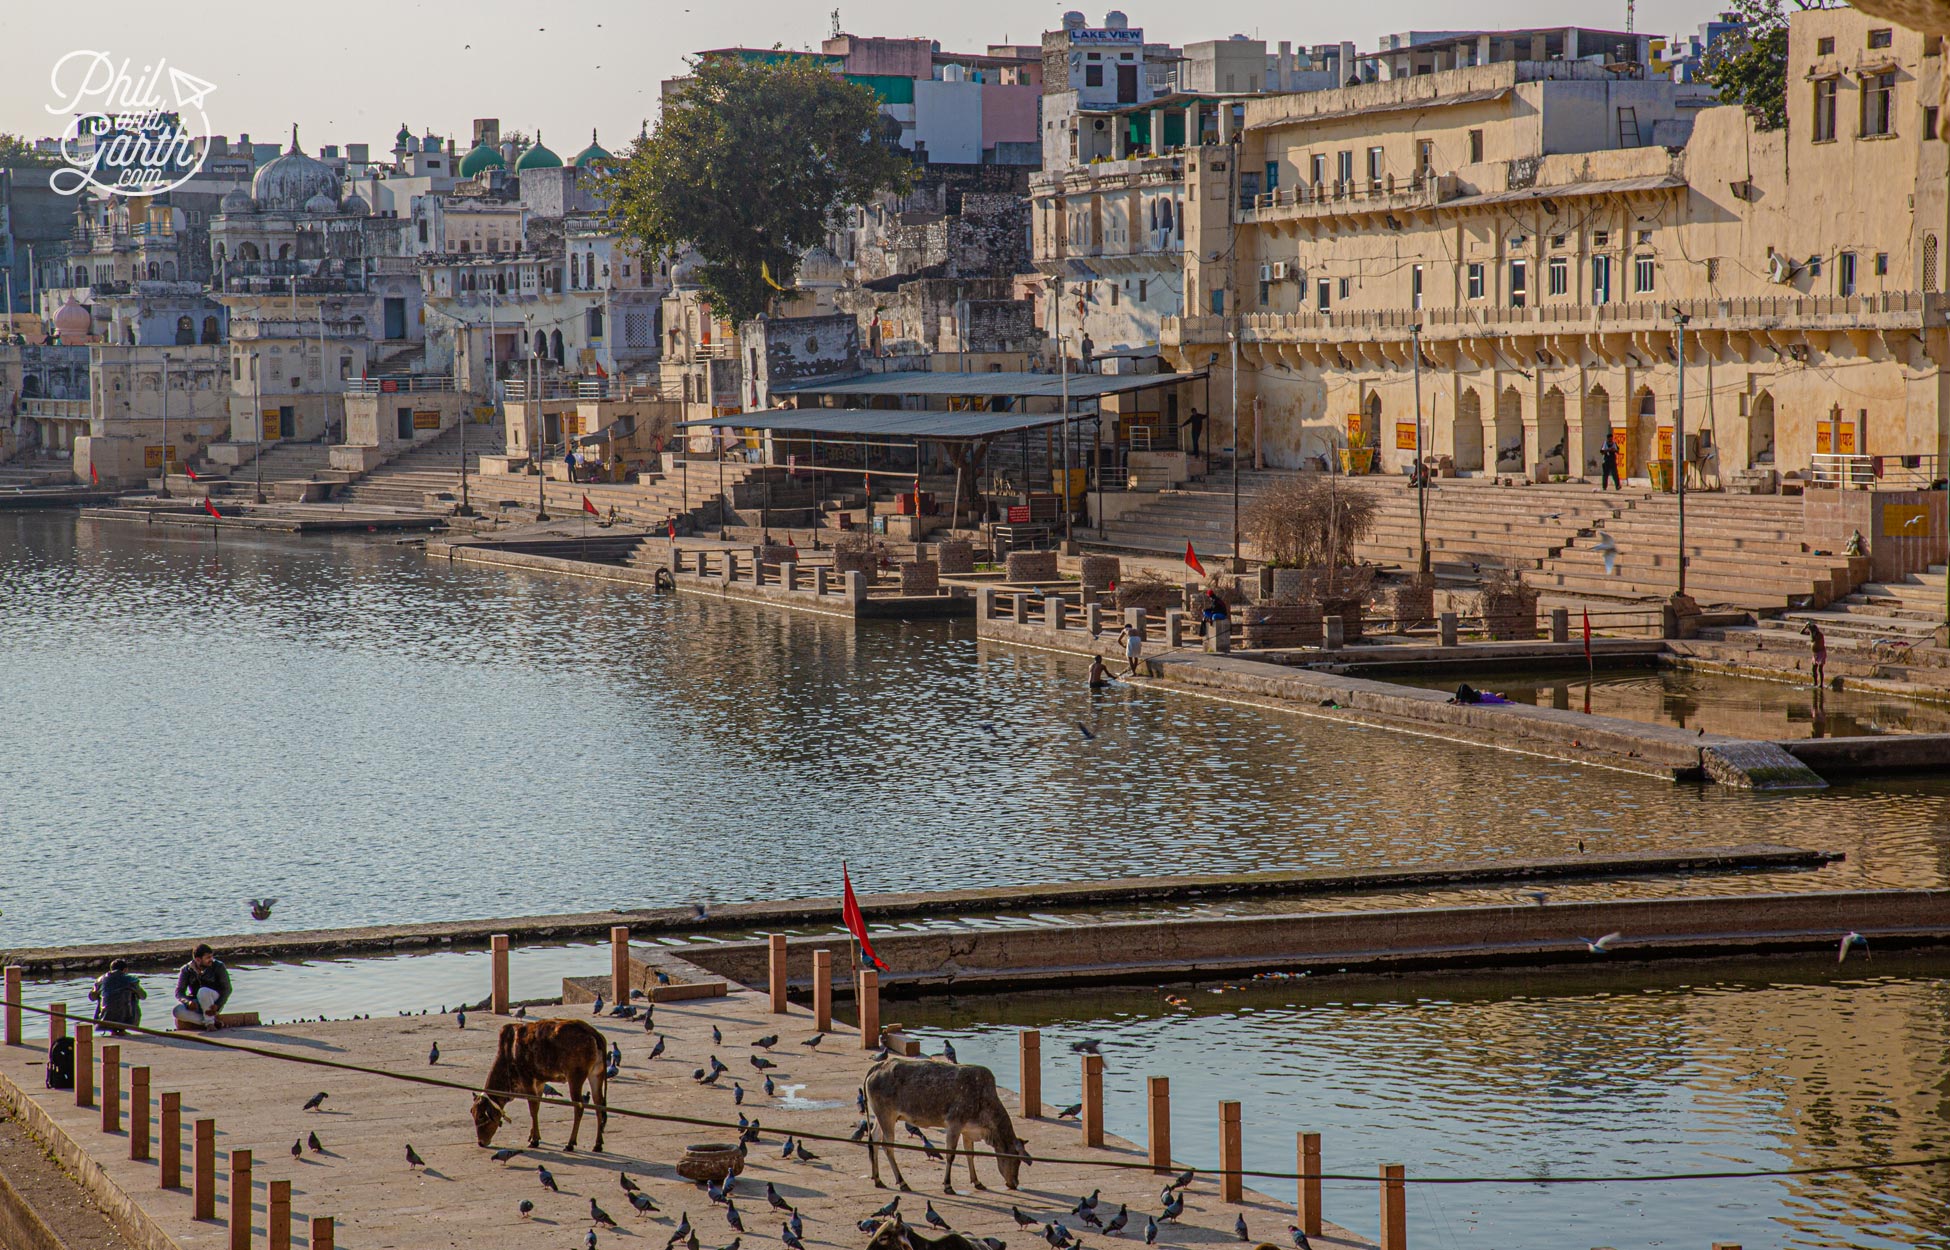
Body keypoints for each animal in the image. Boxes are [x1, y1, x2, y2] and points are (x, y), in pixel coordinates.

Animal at [468, 1014, 604, 1154]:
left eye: (480, 1116)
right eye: (472, 1112)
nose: (481, 1142)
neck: (508, 1053)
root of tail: (591, 1031)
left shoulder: (527, 1079)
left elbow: (533, 1108)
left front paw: (534, 1140)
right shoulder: (539, 1083)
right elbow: (536, 1108)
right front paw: (532, 1135)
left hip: (575, 1077)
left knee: (579, 1107)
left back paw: (570, 1143)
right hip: (596, 1075)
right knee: (599, 1104)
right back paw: (597, 1144)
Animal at [858, 1060, 1029, 1193]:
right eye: (1016, 1159)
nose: (1015, 1183)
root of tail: (877, 1066)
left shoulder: (967, 1129)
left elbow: (970, 1154)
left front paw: (977, 1181)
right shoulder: (954, 1123)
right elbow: (950, 1155)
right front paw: (948, 1185)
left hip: (883, 1116)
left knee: (874, 1138)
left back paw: (877, 1179)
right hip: (886, 1114)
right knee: (887, 1146)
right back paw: (902, 1182)